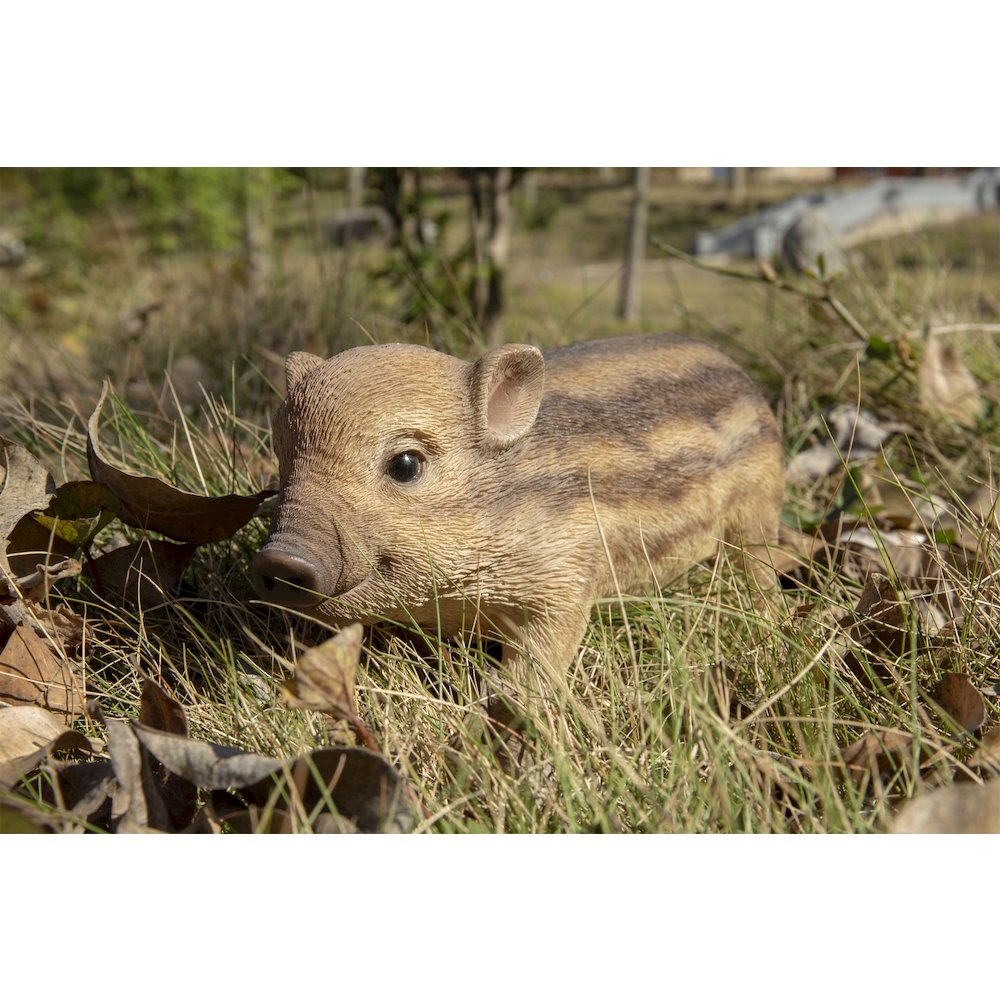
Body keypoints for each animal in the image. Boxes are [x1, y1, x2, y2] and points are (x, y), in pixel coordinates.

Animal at [252, 333, 784, 696]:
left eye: (405, 464)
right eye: (282, 455)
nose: (278, 558)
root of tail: (747, 381)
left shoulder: (567, 576)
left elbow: (543, 655)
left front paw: (505, 702)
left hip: (758, 507)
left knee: (758, 567)